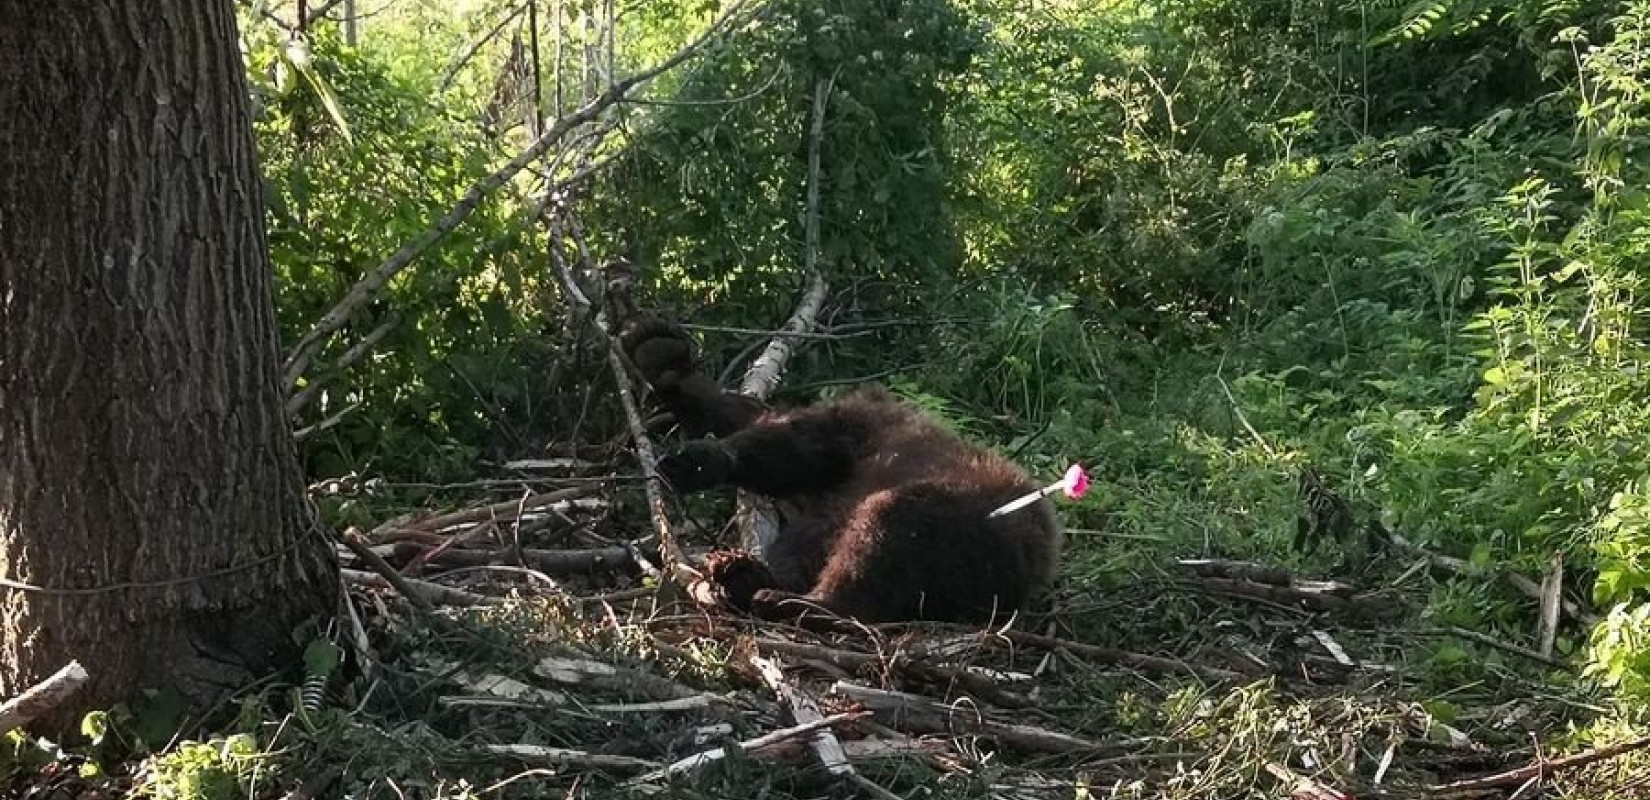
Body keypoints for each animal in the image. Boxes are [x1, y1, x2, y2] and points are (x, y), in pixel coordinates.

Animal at [620, 311, 1069, 623]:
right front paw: (661, 358)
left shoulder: (861, 436)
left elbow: (788, 445)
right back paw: (747, 575)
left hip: (976, 524)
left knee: (888, 526)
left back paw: (797, 599)